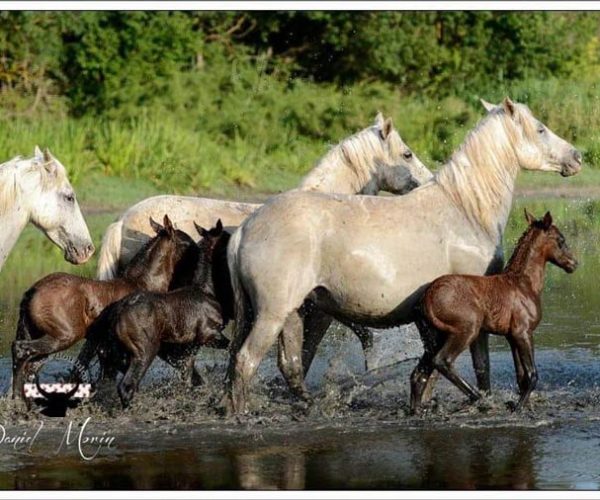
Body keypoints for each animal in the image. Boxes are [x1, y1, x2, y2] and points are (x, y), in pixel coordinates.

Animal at [11, 215, 196, 402]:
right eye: (187, 241)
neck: (143, 283)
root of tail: (32, 291)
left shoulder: (100, 344)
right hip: (66, 335)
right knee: (21, 351)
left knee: (28, 363)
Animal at [412, 211, 576, 414]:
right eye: (561, 240)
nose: (574, 264)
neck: (525, 283)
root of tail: (426, 297)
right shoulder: (523, 332)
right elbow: (532, 374)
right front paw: (517, 407)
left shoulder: (512, 336)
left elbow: (521, 375)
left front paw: (520, 403)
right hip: (467, 330)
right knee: (443, 361)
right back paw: (479, 398)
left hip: (435, 337)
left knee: (418, 373)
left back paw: (418, 410)